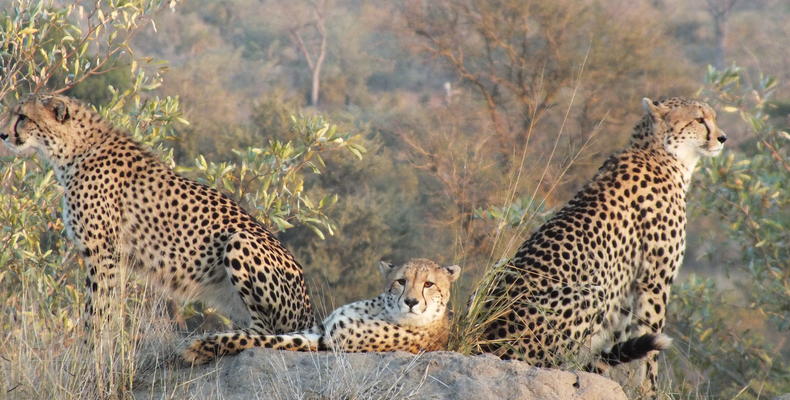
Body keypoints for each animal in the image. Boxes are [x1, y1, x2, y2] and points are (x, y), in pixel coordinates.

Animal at [4, 94, 318, 340]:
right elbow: (110, 309)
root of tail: (309, 311)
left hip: (241, 239)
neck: (75, 148)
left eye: (22, 116)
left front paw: (90, 353)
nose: (3, 135)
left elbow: (96, 312)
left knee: (268, 331)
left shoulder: (102, 253)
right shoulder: (115, 259)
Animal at [182, 258, 460, 364]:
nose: (411, 302)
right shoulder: (321, 329)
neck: (383, 311)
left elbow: (265, 340)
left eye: (428, 284)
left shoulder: (329, 343)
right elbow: (265, 334)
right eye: (401, 281)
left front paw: (200, 347)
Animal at [476, 97, 732, 396]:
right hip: (591, 293)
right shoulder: (653, 282)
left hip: (500, 267)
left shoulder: (627, 289)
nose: (722, 137)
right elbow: (650, 351)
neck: (663, 154)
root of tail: (486, 341)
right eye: (699, 119)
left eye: (713, 117)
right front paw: (649, 391)